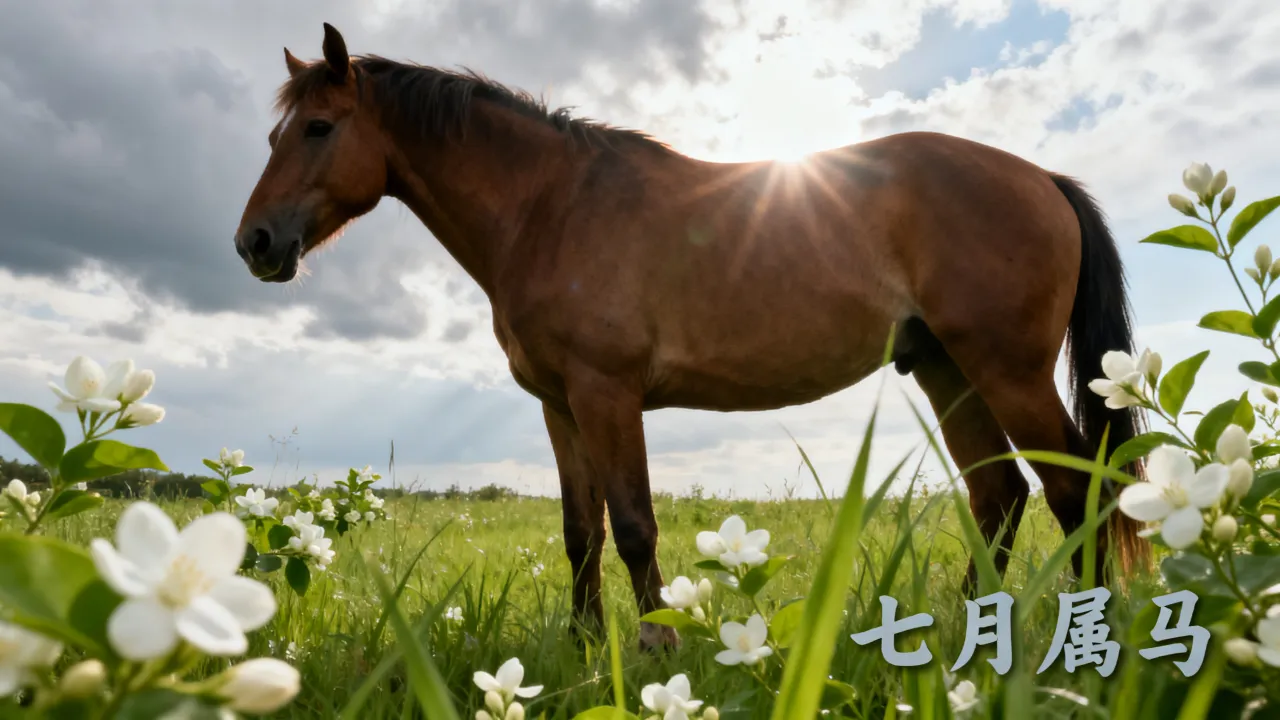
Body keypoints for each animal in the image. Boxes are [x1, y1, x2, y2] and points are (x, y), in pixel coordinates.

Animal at [234, 23, 1150, 651]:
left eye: (318, 128)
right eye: (273, 134)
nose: (255, 244)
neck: (549, 208)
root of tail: (1044, 180)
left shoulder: (608, 394)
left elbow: (635, 524)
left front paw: (658, 645)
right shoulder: (560, 407)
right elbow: (581, 532)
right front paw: (584, 649)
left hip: (1008, 371)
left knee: (1076, 488)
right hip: (947, 370)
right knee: (1000, 496)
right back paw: (965, 630)